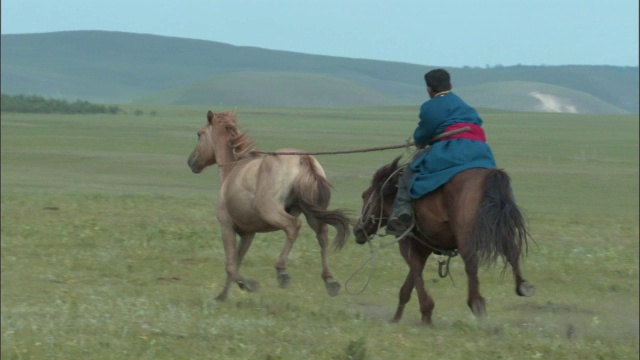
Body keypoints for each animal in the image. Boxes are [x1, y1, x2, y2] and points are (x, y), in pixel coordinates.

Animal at [188, 110, 352, 300]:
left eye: (199, 134)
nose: (191, 162)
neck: (233, 169)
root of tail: (303, 158)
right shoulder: (248, 234)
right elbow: (236, 262)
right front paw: (222, 296)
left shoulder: (226, 226)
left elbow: (230, 265)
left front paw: (248, 285)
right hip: (312, 213)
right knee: (322, 235)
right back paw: (330, 281)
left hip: (271, 211)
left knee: (293, 226)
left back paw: (282, 271)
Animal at [352, 157, 532, 324]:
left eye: (364, 196)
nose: (357, 231)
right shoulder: (423, 247)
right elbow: (410, 281)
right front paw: (397, 318)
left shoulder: (408, 242)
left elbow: (415, 270)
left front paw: (426, 314)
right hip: (502, 228)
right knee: (512, 252)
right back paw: (522, 286)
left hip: (468, 238)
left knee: (472, 264)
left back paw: (477, 304)